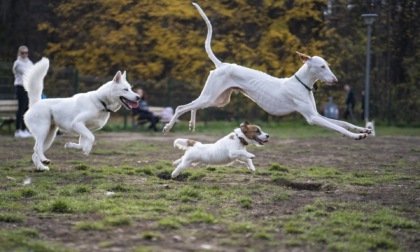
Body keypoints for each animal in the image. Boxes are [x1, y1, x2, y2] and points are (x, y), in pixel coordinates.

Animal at [163, 2, 370, 140]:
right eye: (322, 67)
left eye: (328, 64)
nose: (335, 80)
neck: (302, 85)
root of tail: (222, 65)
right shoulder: (312, 118)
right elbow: (339, 128)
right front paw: (355, 136)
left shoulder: (317, 115)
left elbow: (343, 122)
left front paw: (363, 129)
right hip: (212, 96)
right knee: (182, 107)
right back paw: (168, 127)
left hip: (218, 100)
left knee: (193, 105)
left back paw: (191, 123)